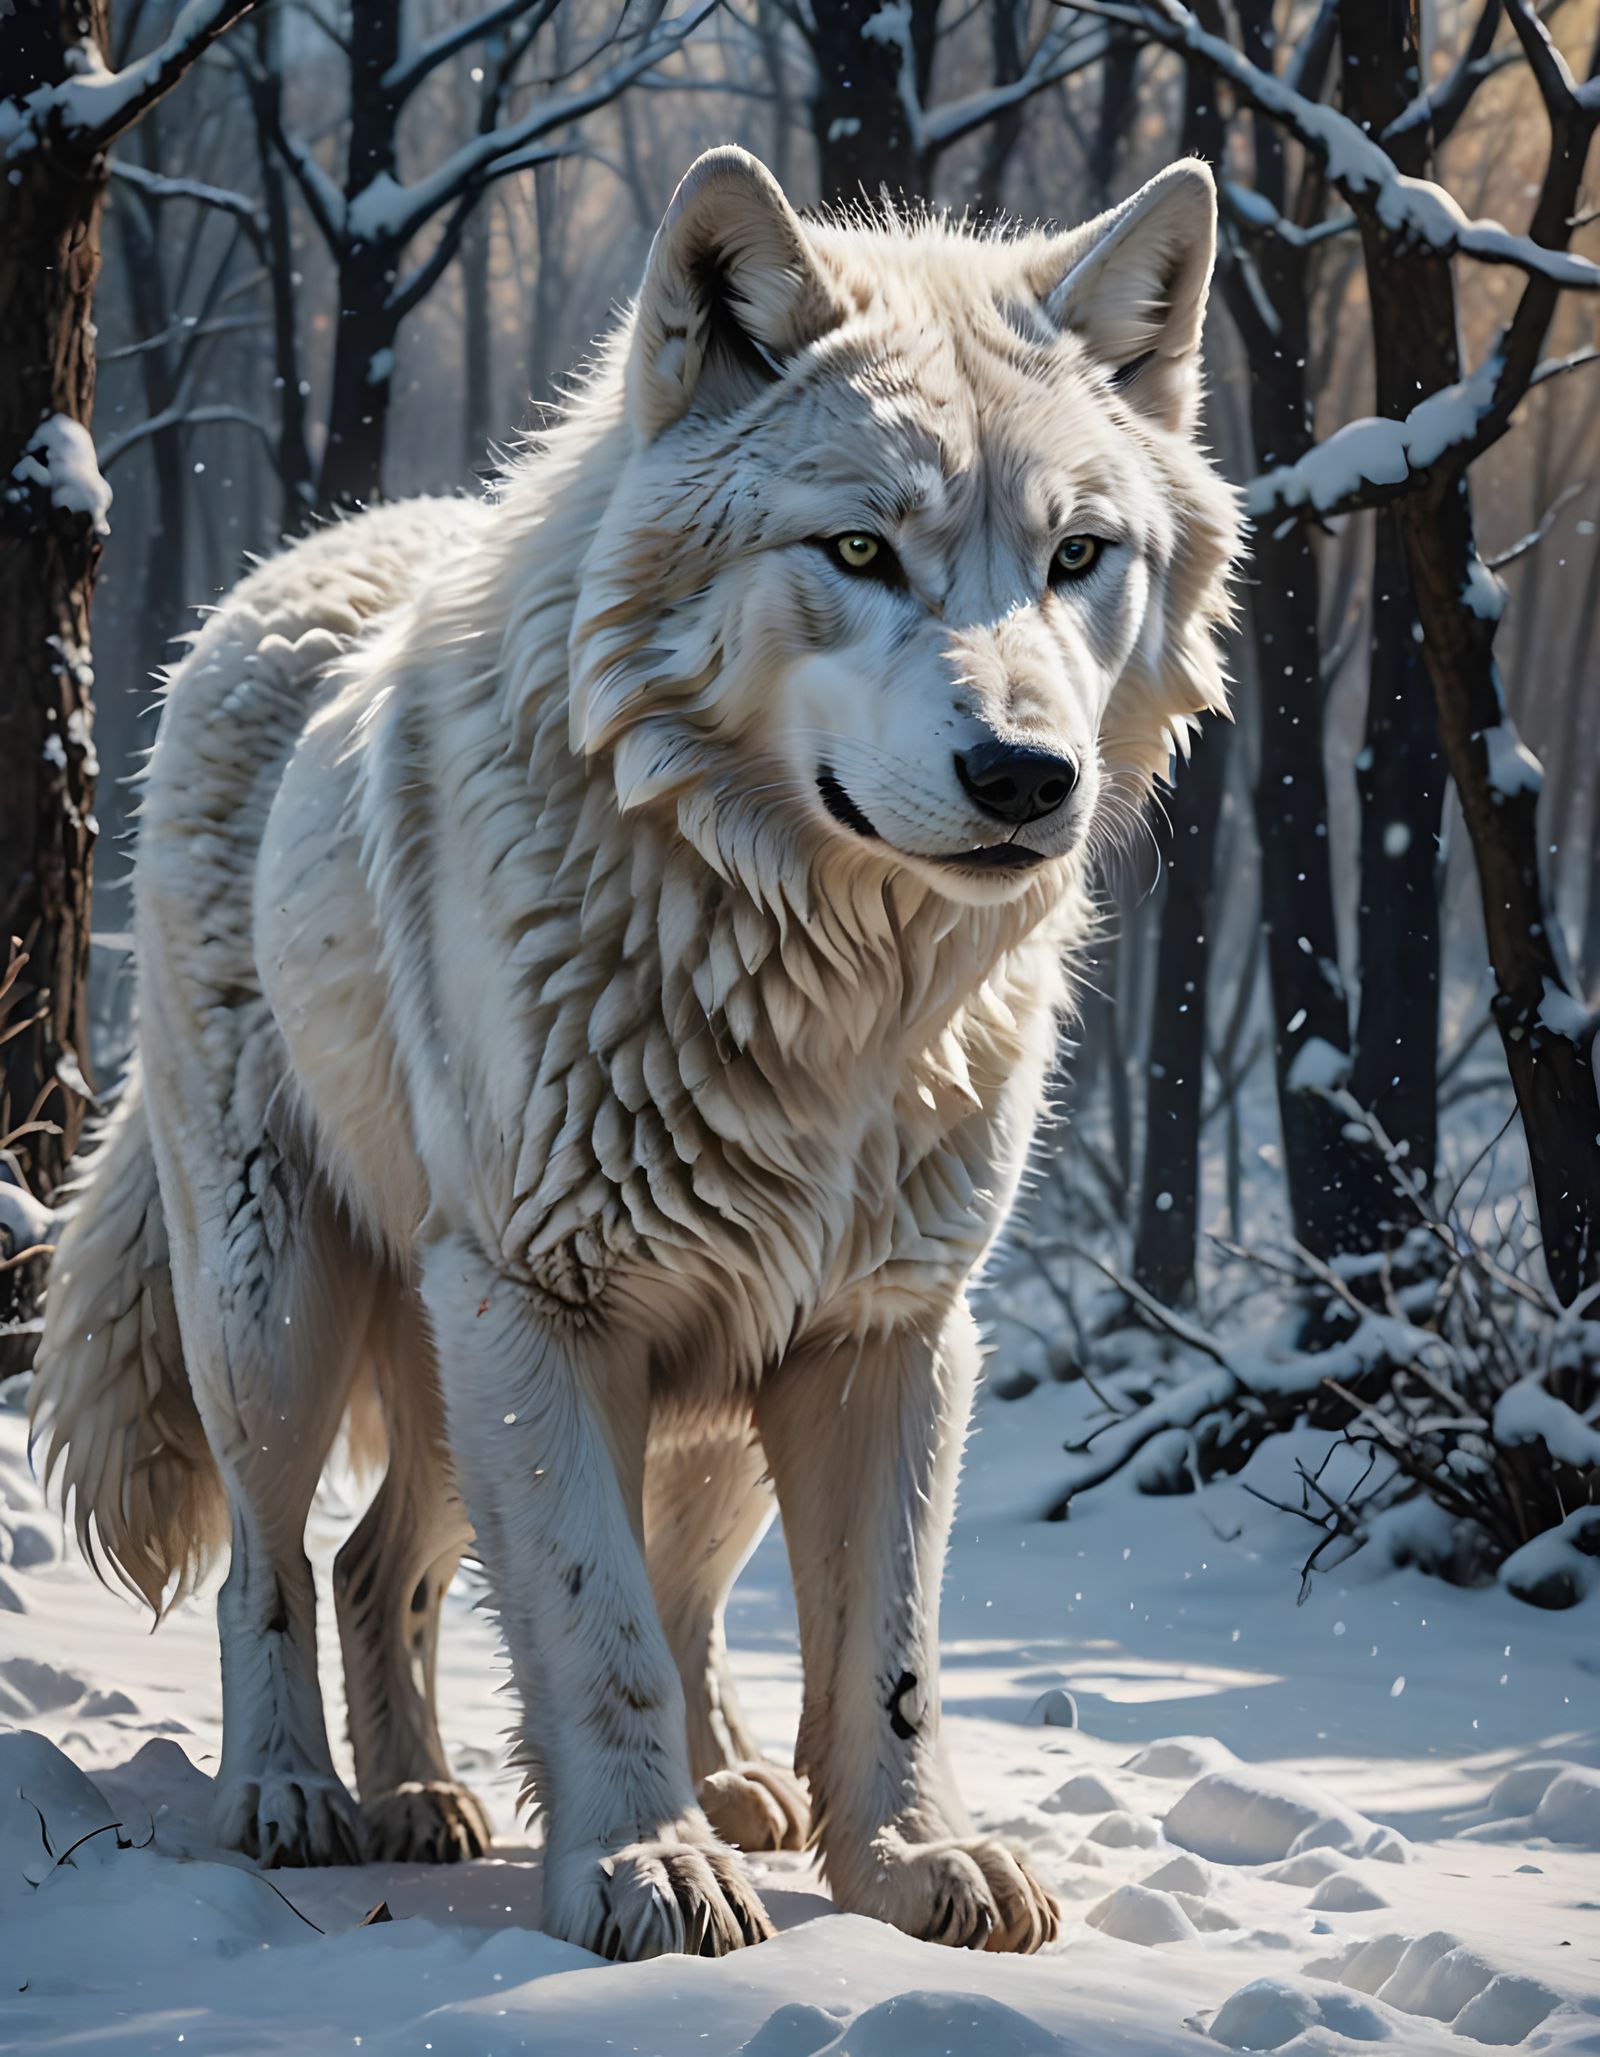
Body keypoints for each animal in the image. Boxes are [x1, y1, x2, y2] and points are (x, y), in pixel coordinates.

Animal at [30, 147, 1238, 1959]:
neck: (816, 985)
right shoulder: (537, 1302)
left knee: (434, 1567)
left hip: (651, 1378)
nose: (1027, 774)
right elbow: (593, 1632)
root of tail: (299, 562)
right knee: (281, 1557)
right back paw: (301, 1796)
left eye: (1080, 553)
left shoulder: (886, 1333)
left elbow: (886, 1655)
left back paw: (481, 1792)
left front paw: (909, 1861)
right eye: (860, 547)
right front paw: (643, 1870)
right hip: (284, 1301)